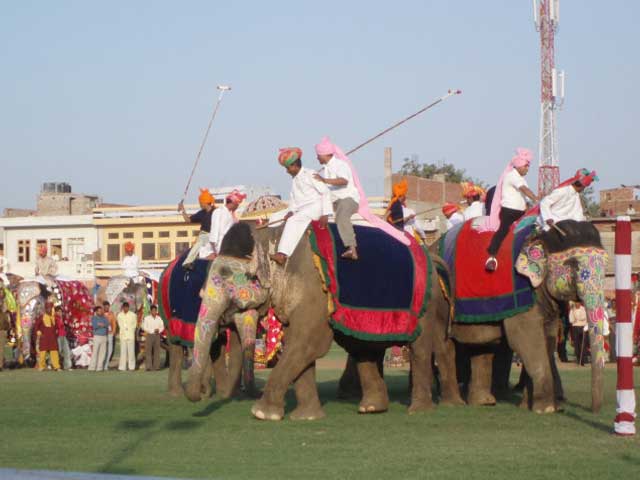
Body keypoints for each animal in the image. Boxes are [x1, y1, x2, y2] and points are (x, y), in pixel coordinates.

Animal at [244, 221, 460, 420]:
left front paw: (262, 413)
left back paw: (419, 411)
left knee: (420, 348)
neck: (274, 234)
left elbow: (310, 342)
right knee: (363, 348)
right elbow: (297, 342)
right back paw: (373, 408)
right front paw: (307, 418)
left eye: (249, 277)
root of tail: (430, 255)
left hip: (425, 302)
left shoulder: (315, 286)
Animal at [438, 220, 608, 412]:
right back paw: (452, 402)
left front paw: (529, 406)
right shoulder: (524, 294)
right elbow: (527, 339)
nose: (594, 411)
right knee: (445, 345)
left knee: (481, 343)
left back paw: (484, 401)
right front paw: (547, 409)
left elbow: (547, 339)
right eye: (573, 265)